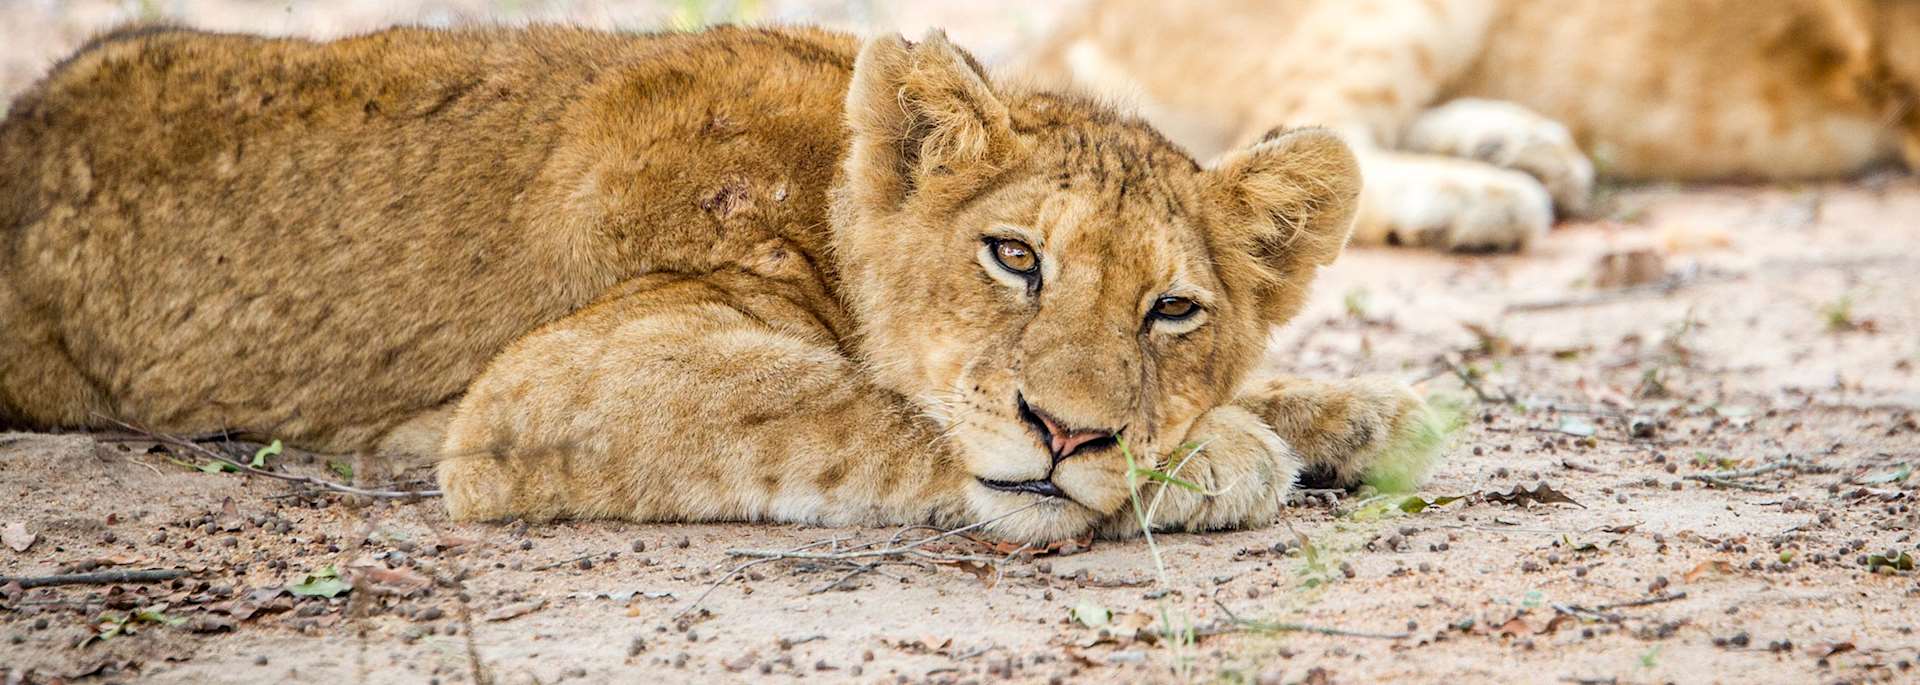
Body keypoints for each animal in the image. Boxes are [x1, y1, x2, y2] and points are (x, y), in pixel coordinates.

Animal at [0, 24, 1439, 542]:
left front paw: (1354, 410)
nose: (1071, 432)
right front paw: (1227, 453)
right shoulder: (555, 383)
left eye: (1173, 309)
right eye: (1016, 256)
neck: (824, 181)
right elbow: (869, 406)